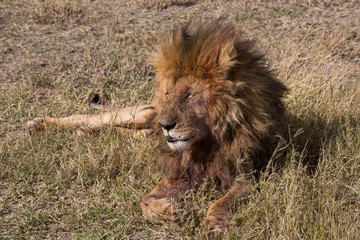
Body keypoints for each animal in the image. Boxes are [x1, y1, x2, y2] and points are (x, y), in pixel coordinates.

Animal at [26, 17, 286, 230]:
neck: (206, 142)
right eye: (168, 93)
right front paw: (170, 212)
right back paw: (42, 124)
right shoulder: (178, 173)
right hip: (141, 115)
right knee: (94, 118)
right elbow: (144, 202)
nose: (165, 125)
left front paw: (212, 223)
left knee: (123, 133)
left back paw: (85, 133)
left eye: (190, 95)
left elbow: (224, 202)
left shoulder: (246, 177)